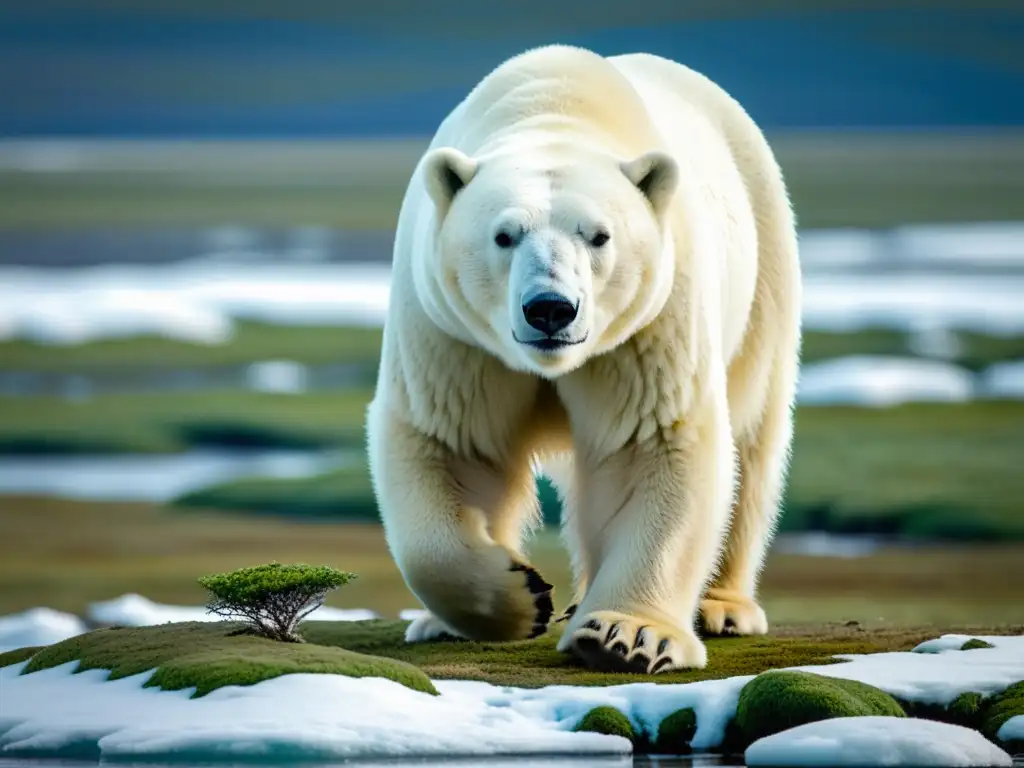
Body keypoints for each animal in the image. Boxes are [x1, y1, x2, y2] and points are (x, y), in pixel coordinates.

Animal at [364, 45, 802, 675]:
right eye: (504, 235)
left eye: (599, 236)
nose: (551, 308)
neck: (556, 110)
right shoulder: (455, 335)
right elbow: (450, 443)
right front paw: (521, 596)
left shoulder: (649, 326)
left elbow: (650, 442)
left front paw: (628, 636)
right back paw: (439, 623)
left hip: (763, 258)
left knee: (752, 433)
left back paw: (721, 607)